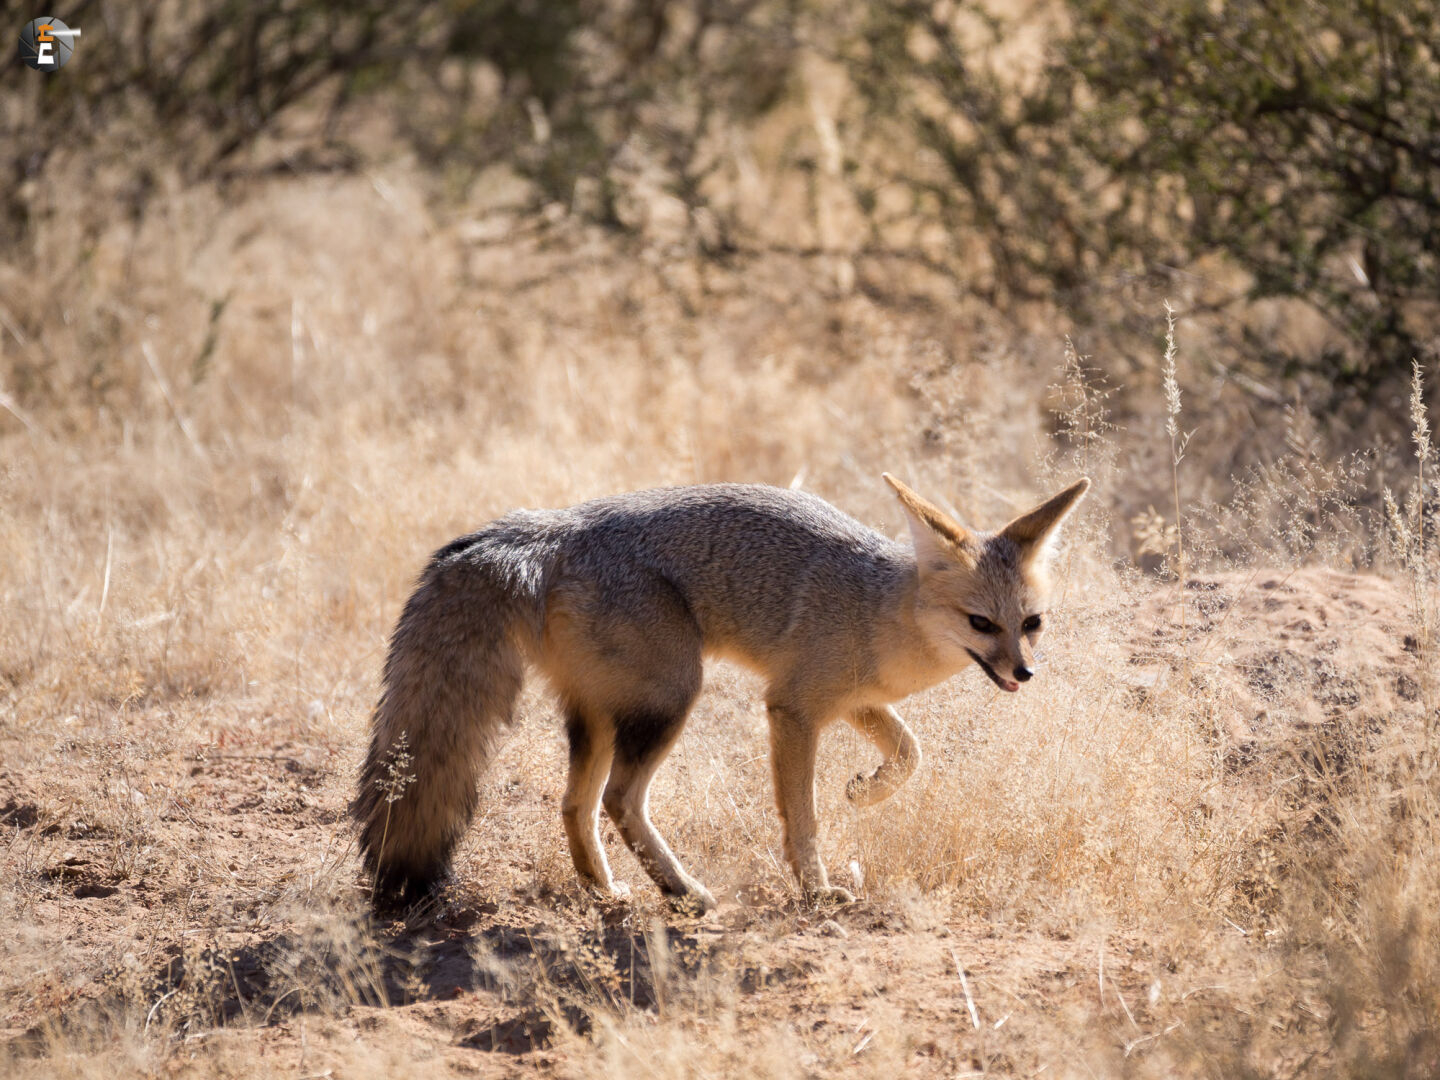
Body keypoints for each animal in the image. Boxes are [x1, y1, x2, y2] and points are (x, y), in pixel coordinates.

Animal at [353, 474, 1090, 912]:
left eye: (1031, 623)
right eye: (981, 624)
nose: (1024, 673)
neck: (880, 610)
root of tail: (551, 527)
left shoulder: (850, 701)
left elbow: (912, 750)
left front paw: (868, 789)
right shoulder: (792, 708)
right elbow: (803, 817)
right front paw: (816, 889)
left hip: (602, 717)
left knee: (574, 804)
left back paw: (606, 889)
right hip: (672, 698)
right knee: (620, 799)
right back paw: (685, 892)